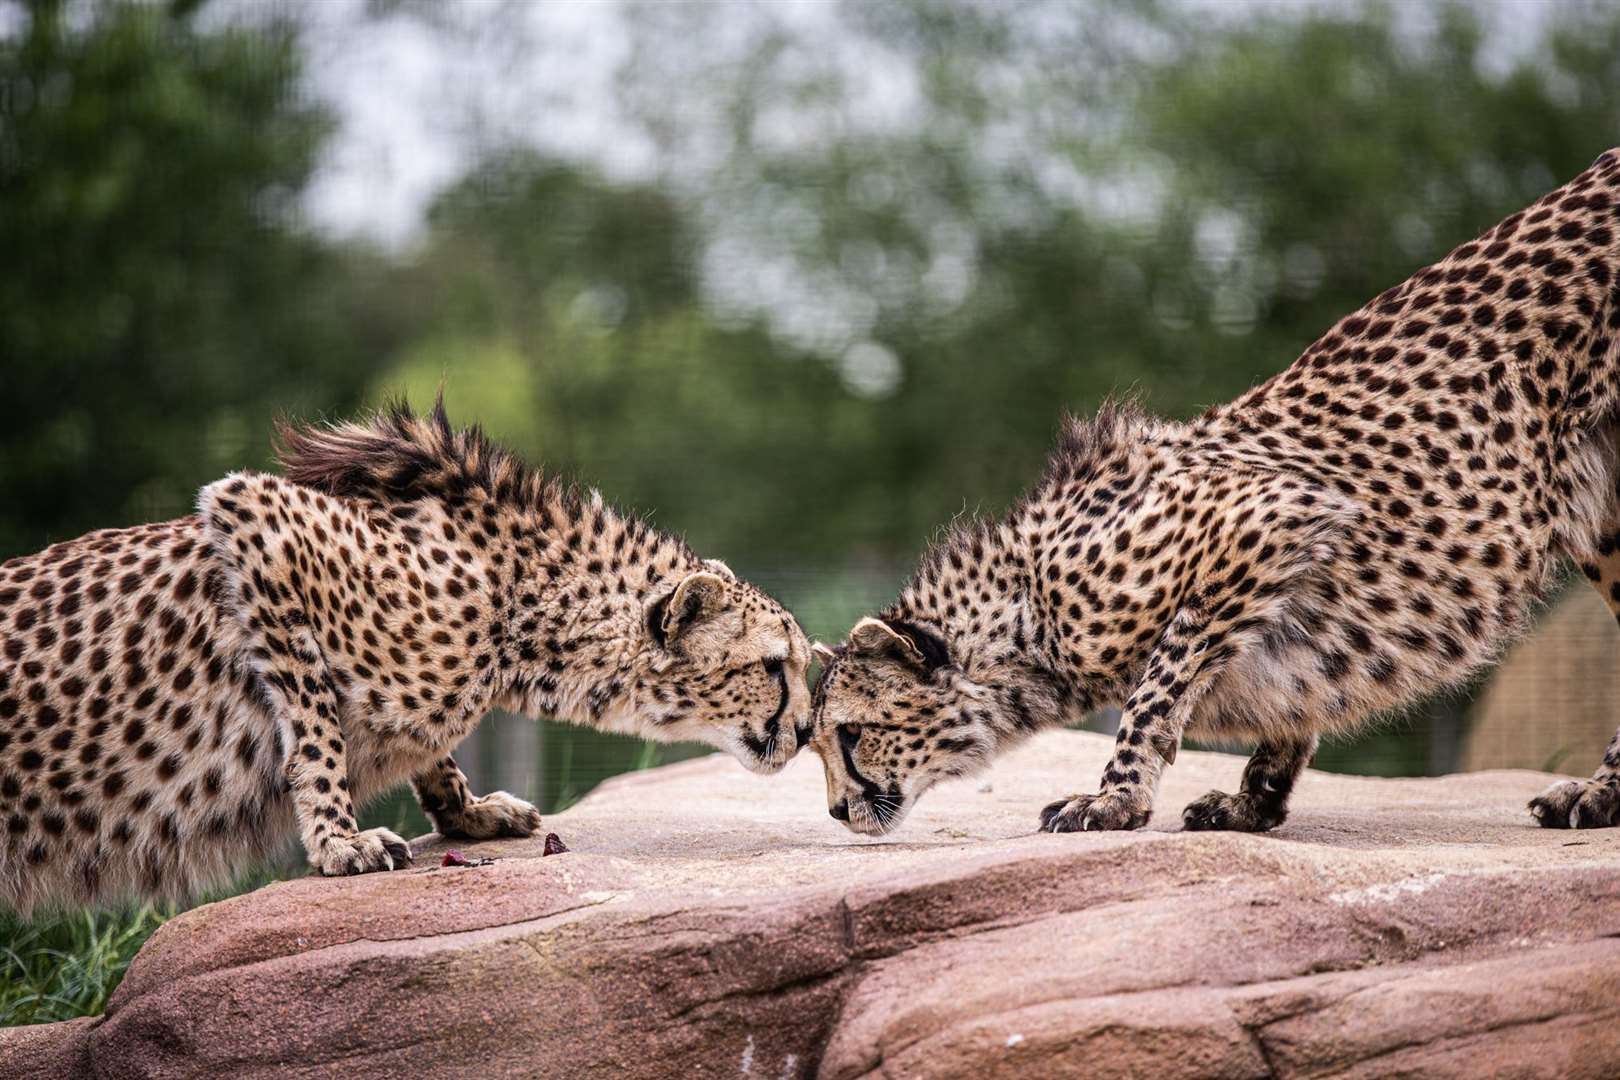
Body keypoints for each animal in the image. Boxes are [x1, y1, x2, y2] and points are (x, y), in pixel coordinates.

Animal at [0, 401, 810, 919]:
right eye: (774, 666)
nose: (805, 731)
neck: (522, 601)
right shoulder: (258, 518)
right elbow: (316, 725)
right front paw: (338, 841)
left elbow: (428, 746)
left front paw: (467, 810)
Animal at [816, 145, 1620, 835]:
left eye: (851, 735)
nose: (835, 811)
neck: (1026, 613)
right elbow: (1283, 712)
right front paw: (1252, 802)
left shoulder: (1263, 521)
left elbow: (1157, 685)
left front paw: (1115, 799)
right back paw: (1603, 795)